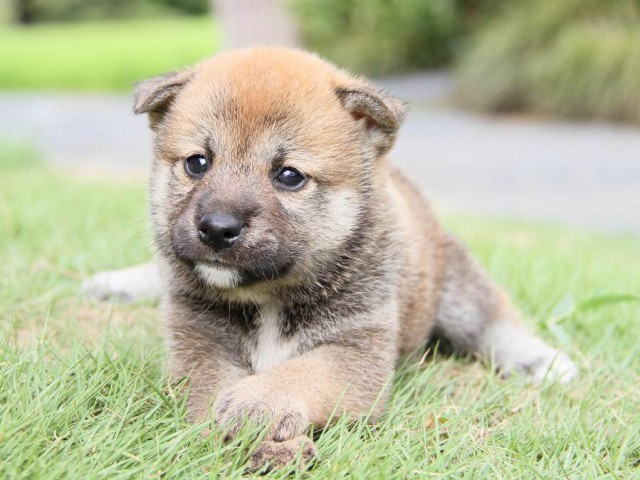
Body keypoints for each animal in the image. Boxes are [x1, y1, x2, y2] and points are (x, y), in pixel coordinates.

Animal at [84, 47, 576, 468]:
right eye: (197, 163)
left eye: (289, 176)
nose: (217, 228)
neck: (268, 296)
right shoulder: (199, 345)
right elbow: (209, 398)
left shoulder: (354, 351)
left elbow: (301, 373)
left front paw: (256, 404)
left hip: (456, 288)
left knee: (492, 321)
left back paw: (542, 360)